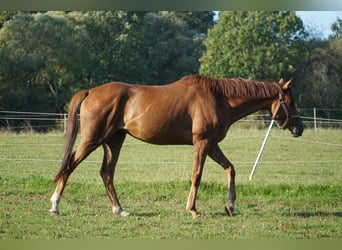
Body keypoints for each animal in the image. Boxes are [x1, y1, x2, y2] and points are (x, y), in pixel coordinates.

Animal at [49, 75, 304, 218]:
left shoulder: (211, 144)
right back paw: (55, 205)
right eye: (290, 102)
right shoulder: (202, 142)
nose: (299, 128)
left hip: (114, 141)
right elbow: (197, 175)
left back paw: (119, 209)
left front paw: (230, 205)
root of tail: (91, 91)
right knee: (69, 166)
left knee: (106, 174)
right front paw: (193, 209)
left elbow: (230, 169)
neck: (219, 98)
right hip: (92, 139)